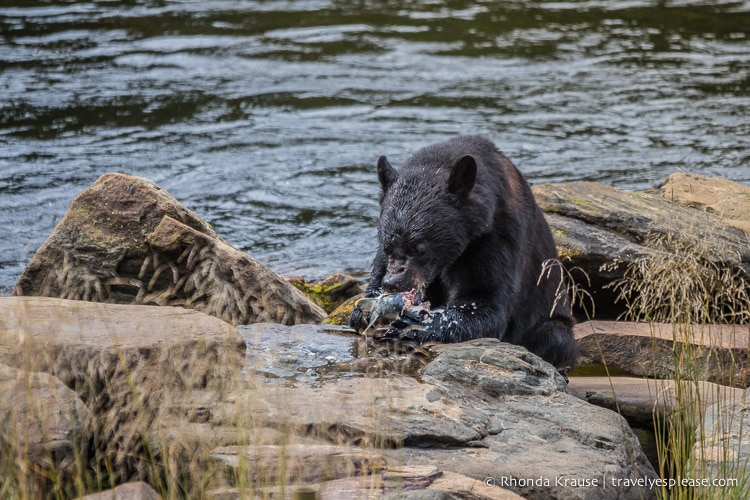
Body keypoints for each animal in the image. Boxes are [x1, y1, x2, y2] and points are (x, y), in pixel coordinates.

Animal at [352, 134, 580, 372]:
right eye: (388, 245)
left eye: (420, 248)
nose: (393, 283)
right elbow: (379, 268)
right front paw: (366, 309)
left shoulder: (496, 237)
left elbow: (485, 298)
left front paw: (415, 325)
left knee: (554, 336)